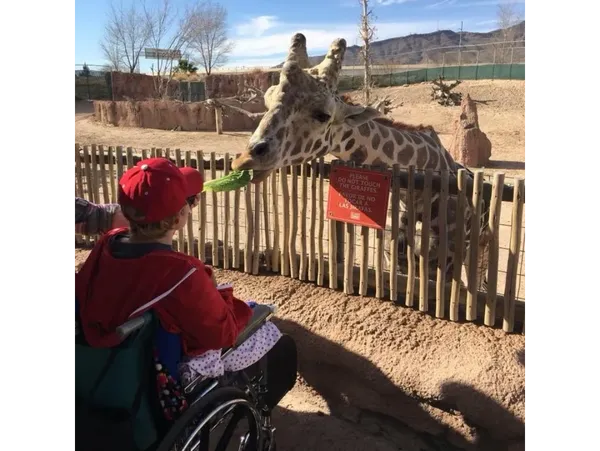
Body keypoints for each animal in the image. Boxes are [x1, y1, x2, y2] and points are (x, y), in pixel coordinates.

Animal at [232, 33, 490, 286]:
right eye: (267, 101)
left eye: (323, 114)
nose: (244, 159)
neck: (413, 195)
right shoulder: (393, 256)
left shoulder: (445, 262)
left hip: (477, 245)